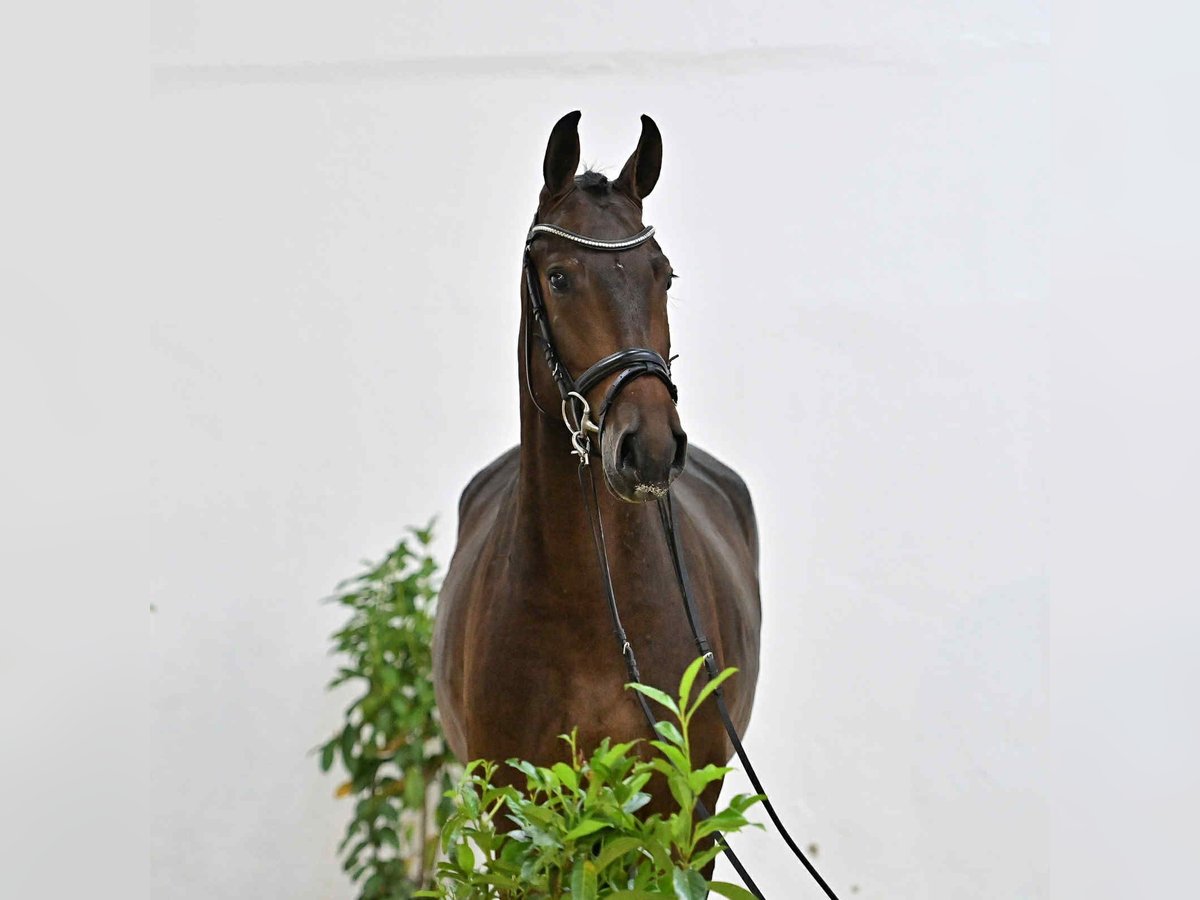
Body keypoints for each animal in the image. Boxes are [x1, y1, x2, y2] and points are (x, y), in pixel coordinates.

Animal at [433, 111, 762, 820]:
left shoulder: (679, 816)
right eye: (559, 276)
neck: (587, 607)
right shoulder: (515, 817)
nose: (652, 448)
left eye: (663, 275)